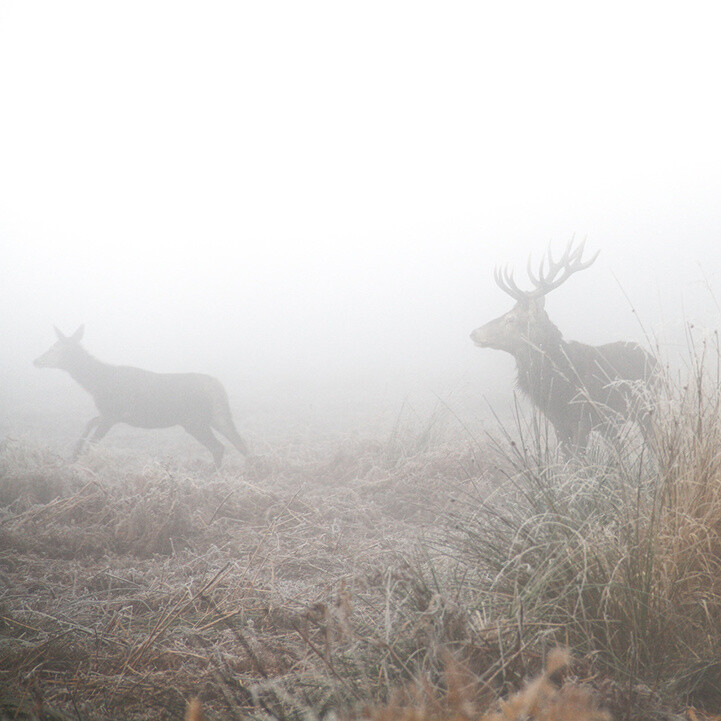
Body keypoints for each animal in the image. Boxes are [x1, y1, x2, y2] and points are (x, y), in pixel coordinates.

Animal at [33, 326, 248, 466]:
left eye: (54, 348)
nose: (36, 360)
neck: (97, 383)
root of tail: (217, 387)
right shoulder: (110, 414)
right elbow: (89, 422)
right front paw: (73, 454)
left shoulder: (113, 414)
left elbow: (93, 442)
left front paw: (79, 462)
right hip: (215, 416)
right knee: (239, 443)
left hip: (193, 420)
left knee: (219, 447)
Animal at [470, 243, 656, 456]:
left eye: (511, 319)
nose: (474, 333)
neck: (556, 385)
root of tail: (654, 360)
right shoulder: (557, 422)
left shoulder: (582, 418)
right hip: (611, 423)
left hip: (647, 408)